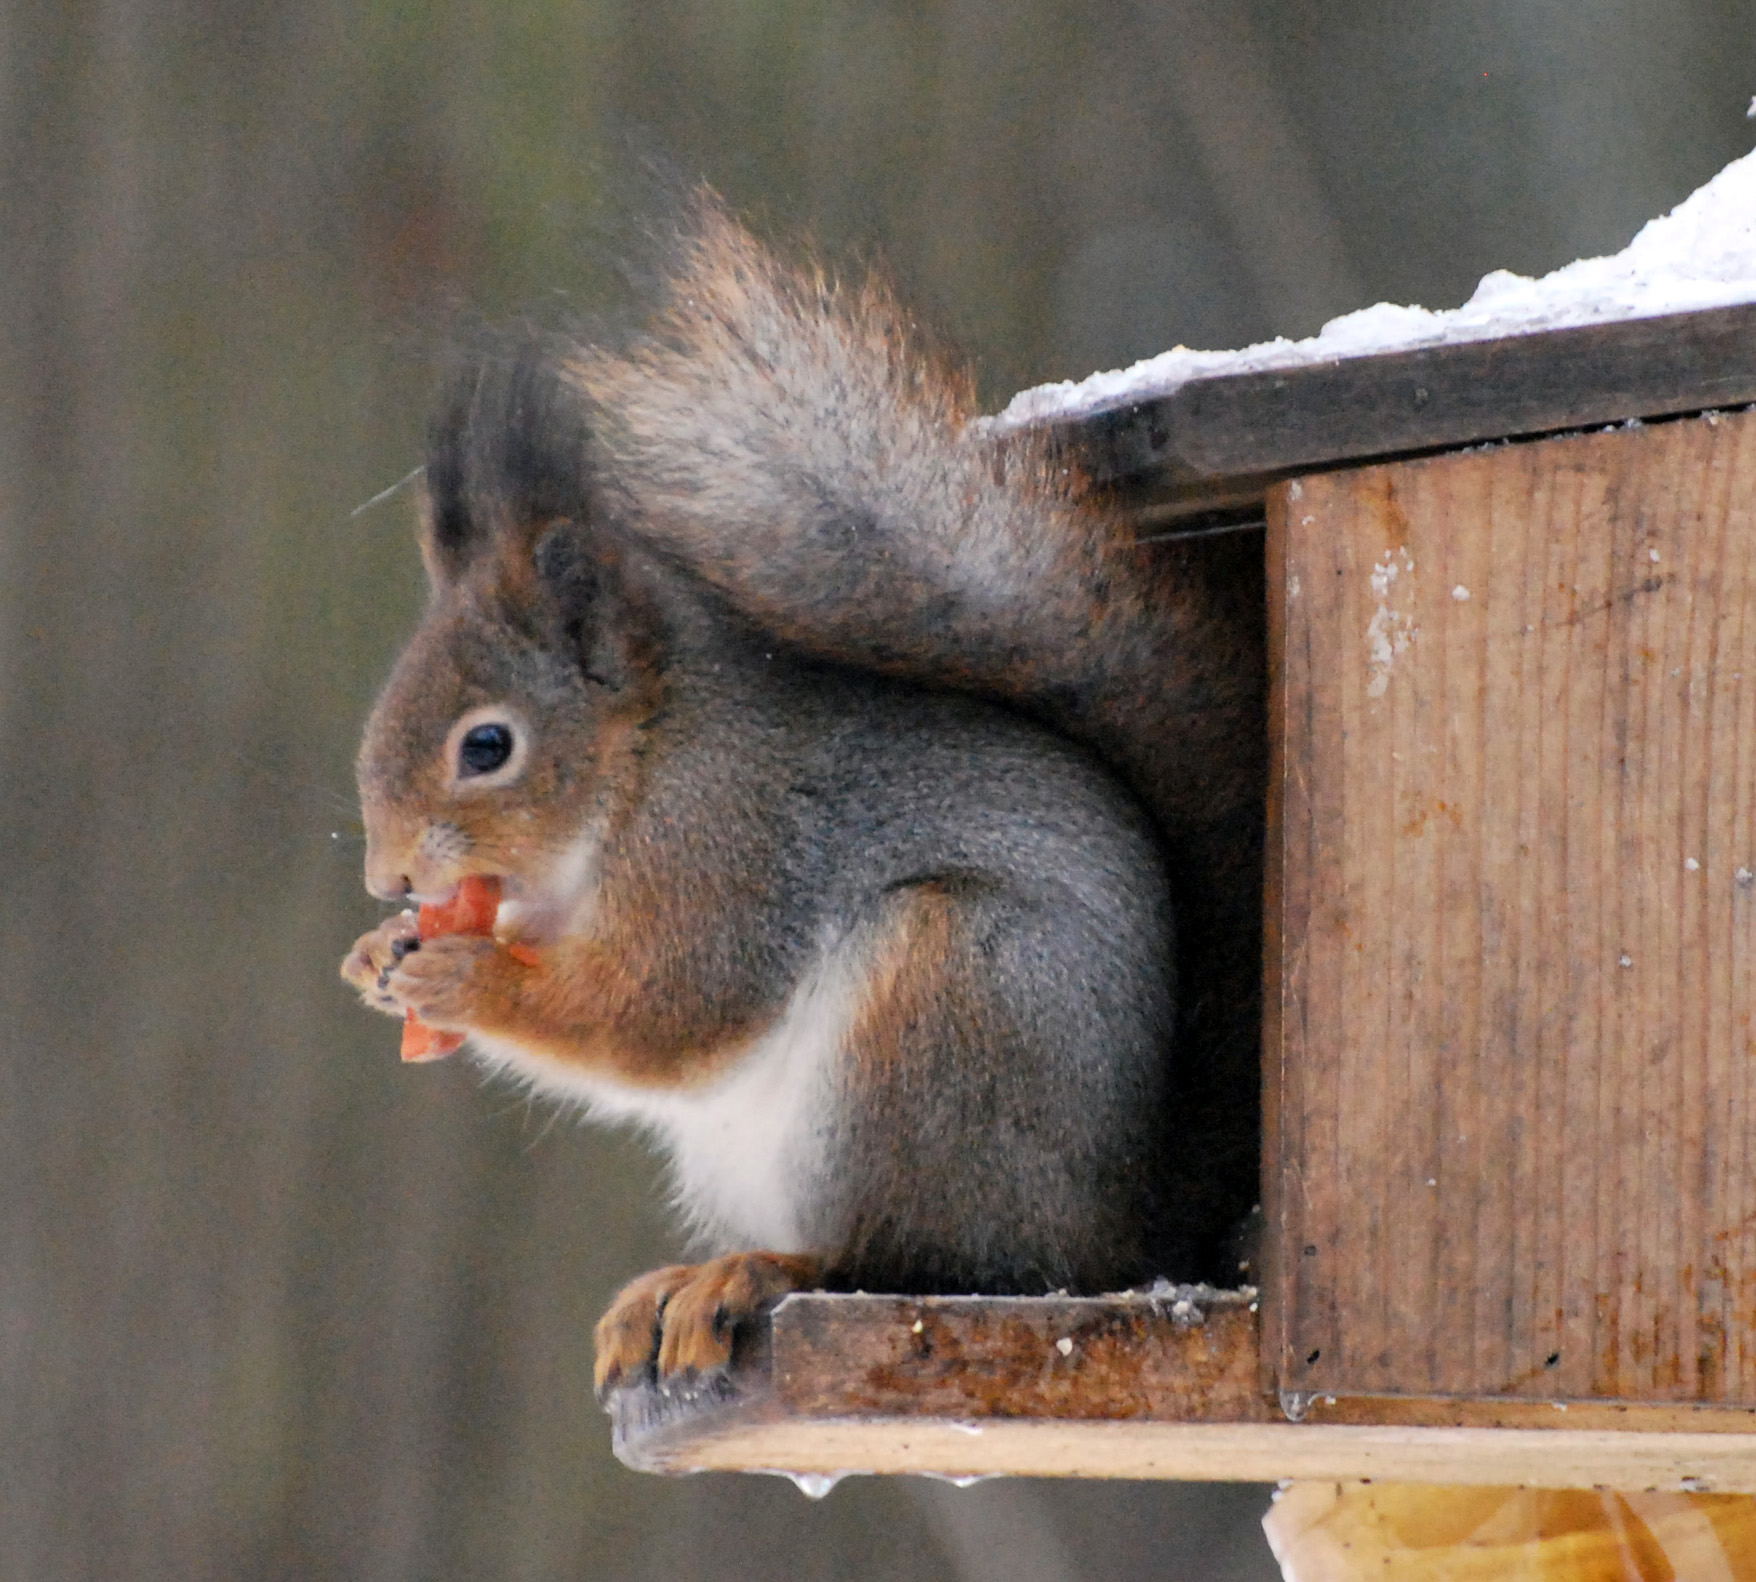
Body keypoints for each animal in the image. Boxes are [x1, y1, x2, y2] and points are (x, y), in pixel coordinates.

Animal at [338, 197, 1264, 1397]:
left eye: (487, 745)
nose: (388, 875)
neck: (641, 767)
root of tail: (1109, 1237)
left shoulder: (727, 844)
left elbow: (672, 1008)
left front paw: (467, 977)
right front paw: (381, 953)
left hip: (947, 1007)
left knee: (904, 1256)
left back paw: (759, 1271)